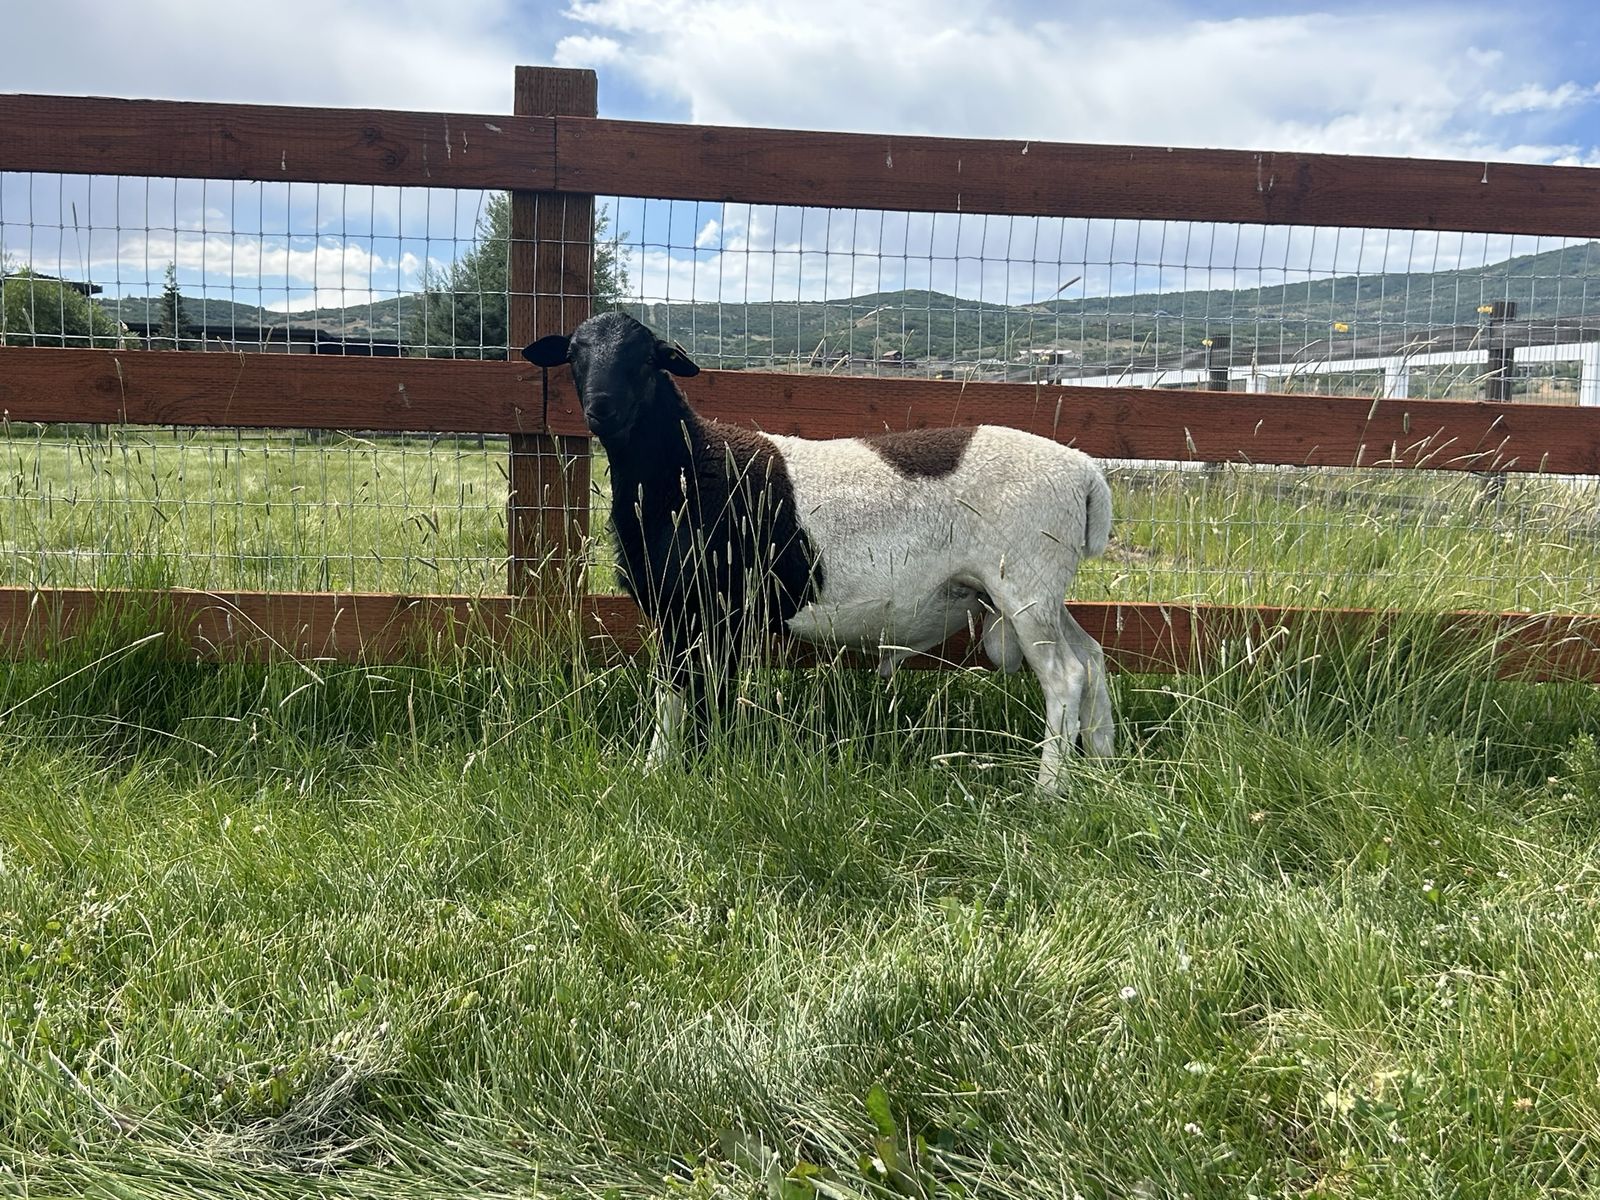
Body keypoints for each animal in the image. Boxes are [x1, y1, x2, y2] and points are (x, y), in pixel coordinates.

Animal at [523, 311, 1114, 788]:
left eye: (647, 358)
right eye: (574, 354)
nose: (601, 408)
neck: (687, 465)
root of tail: (1087, 474)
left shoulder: (702, 606)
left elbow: (686, 694)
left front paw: (676, 767)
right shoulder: (703, 614)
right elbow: (697, 693)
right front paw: (689, 763)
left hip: (1025, 581)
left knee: (1066, 676)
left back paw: (1048, 790)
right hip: (1041, 588)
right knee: (1092, 657)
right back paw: (1104, 763)